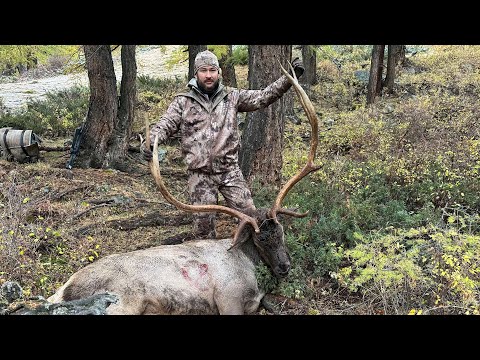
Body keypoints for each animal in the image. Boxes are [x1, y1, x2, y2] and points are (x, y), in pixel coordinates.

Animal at [47, 62, 320, 316]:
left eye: (281, 231)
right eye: (260, 239)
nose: (285, 266)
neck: (251, 271)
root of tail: (62, 291)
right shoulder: (228, 298)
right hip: (121, 303)